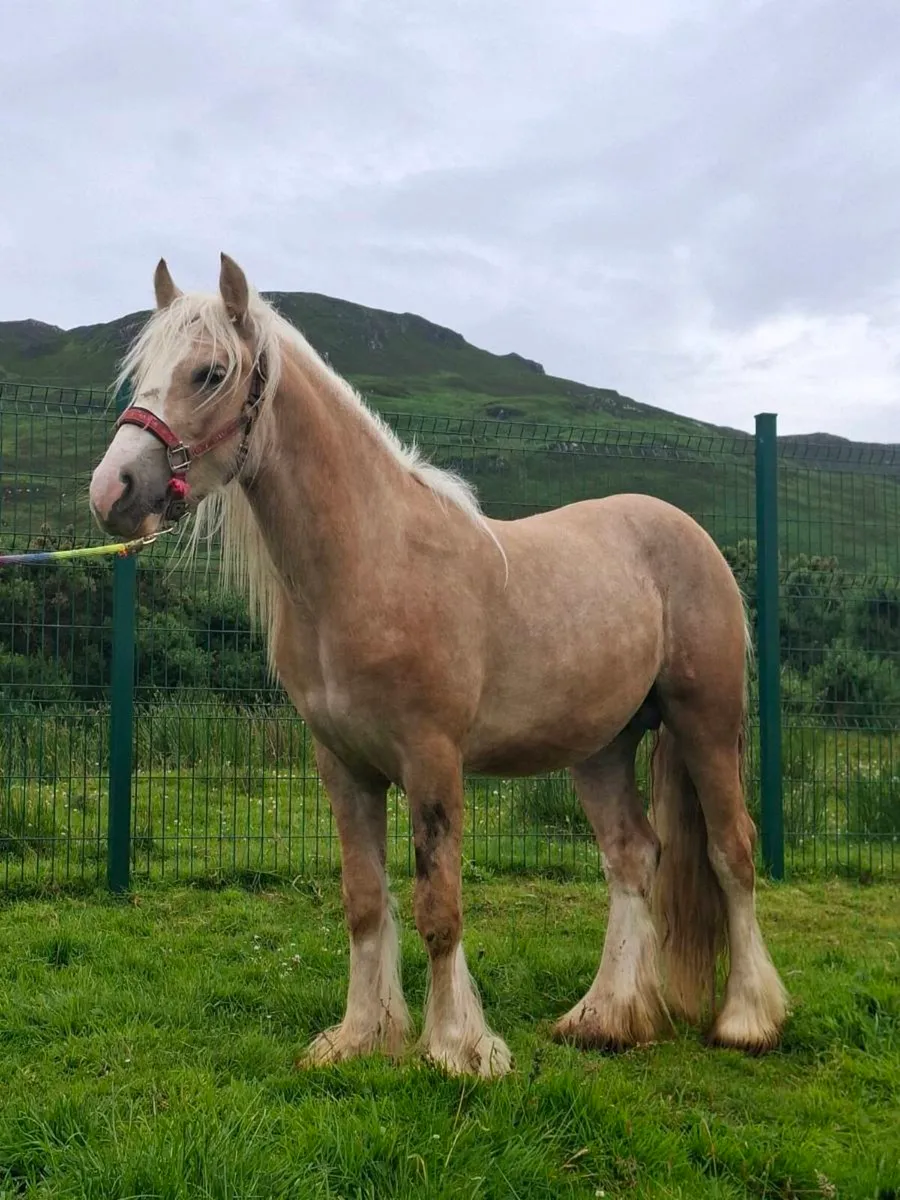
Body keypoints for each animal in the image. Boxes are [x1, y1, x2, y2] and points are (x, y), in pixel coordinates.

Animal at [88, 253, 787, 1077]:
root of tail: (689, 534)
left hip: (705, 722)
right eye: (141, 371)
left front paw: (457, 1046)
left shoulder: (432, 760)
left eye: (210, 371)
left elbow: (439, 905)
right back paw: (606, 1018)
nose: (113, 490)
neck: (371, 563)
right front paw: (360, 1037)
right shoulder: (343, 765)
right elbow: (365, 901)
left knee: (731, 851)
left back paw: (747, 1019)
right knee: (632, 858)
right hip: (602, 747)